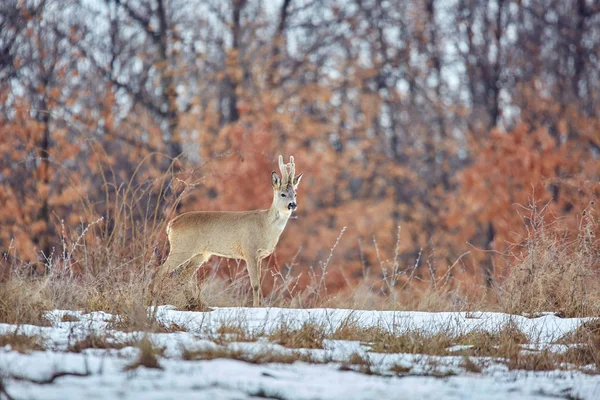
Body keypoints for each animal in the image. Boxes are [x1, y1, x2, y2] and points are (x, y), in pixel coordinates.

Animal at [148, 155, 302, 306]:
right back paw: (152, 300)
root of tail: (170, 225)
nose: (292, 205)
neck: (265, 226)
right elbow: (255, 284)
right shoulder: (249, 250)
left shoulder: (259, 256)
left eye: (295, 193)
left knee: (183, 276)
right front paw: (256, 307)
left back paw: (193, 303)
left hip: (200, 254)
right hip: (182, 248)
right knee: (160, 271)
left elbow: (258, 284)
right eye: (282, 194)